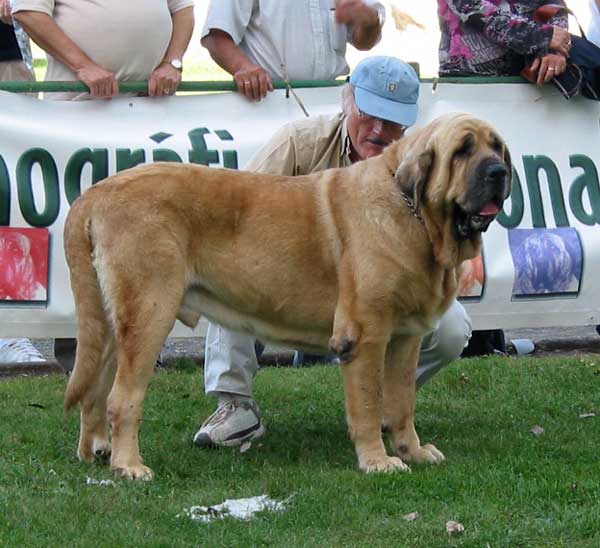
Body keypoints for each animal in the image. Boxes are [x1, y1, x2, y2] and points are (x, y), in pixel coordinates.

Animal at [64, 112, 510, 480]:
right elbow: (368, 405)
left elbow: (402, 402)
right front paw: (377, 460)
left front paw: (412, 451)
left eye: (496, 146)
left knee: (94, 389)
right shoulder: (365, 336)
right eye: (462, 150)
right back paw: (129, 465)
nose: (500, 171)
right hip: (149, 315)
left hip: (110, 324)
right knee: (122, 397)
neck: (415, 216)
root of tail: (95, 193)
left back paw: (96, 450)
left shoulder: (405, 339)